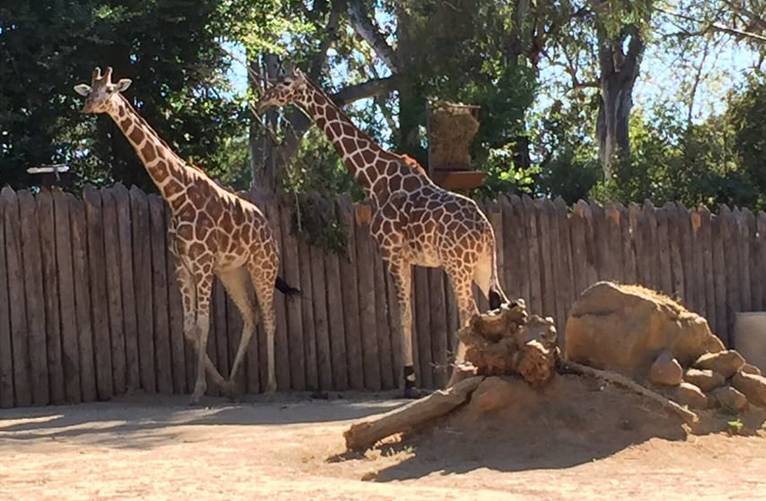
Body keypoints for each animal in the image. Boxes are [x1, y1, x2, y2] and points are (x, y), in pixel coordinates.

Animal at [73, 67, 298, 402]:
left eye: (110, 90)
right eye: (90, 90)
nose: (89, 106)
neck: (175, 193)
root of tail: (269, 229)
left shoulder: (202, 263)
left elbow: (203, 324)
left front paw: (198, 390)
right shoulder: (182, 265)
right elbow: (188, 327)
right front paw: (214, 383)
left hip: (263, 266)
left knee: (269, 316)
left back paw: (270, 387)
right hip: (233, 272)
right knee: (251, 315)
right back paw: (232, 383)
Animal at [256, 67, 510, 394]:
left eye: (285, 83)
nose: (262, 101)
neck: (374, 179)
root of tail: (486, 231)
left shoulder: (391, 252)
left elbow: (401, 315)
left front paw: (409, 380)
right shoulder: (408, 258)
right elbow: (408, 313)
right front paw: (410, 377)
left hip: (458, 265)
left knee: (470, 314)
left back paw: (453, 379)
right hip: (481, 265)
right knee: (500, 304)